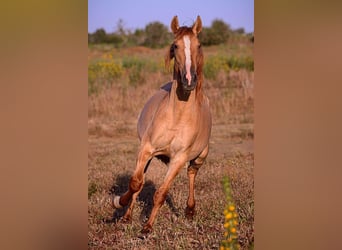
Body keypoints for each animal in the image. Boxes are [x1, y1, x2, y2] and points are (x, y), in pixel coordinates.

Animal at [113, 15, 211, 234]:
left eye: (199, 45)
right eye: (175, 45)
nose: (189, 80)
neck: (177, 117)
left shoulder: (178, 159)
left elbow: (161, 193)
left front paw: (147, 227)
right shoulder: (146, 149)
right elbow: (135, 183)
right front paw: (119, 204)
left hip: (200, 156)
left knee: (192, 174)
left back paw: (190, 210)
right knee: (140, 183)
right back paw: (126, 216)